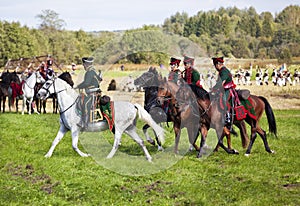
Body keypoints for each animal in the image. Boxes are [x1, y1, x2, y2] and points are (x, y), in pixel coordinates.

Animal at [36, 78, 165, 162]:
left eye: (47, 83)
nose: (38, 94)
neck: (70, 105)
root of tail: (133, 105)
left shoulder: (74, 129)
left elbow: (74, 145)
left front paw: (85, 155)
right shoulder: (64, 128)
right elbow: (55, 141)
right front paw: (47, 155)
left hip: (119, 128)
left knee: (117, 143)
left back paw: (108, 157)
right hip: (129, 128)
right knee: (140, 141)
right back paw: (149, 157)